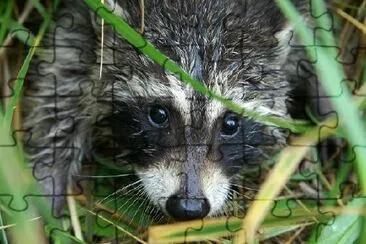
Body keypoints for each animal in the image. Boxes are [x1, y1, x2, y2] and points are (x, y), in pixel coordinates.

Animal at [22, 0, 328, 220]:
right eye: (158, 115)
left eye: (230, 124)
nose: (188, 207)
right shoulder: (81, 15)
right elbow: (63, 73)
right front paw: (48, 175)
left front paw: (328, 98)